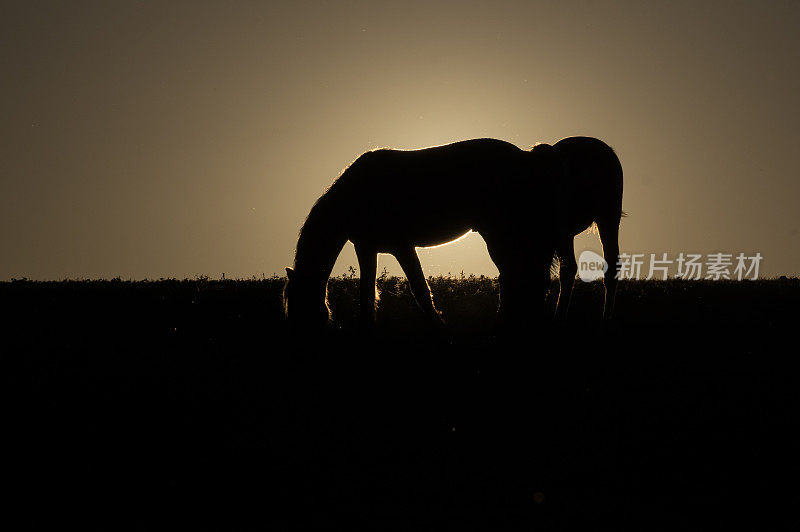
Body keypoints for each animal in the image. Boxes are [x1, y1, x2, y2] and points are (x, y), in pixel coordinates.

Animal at [282, 136, 624, 328]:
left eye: (295, 300)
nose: (296, 329)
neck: (356, 195)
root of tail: (533, 157)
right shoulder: (366, 247)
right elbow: (367, 293)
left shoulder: (401, 246)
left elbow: (419, 290)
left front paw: (438, 325)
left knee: (522, 275)